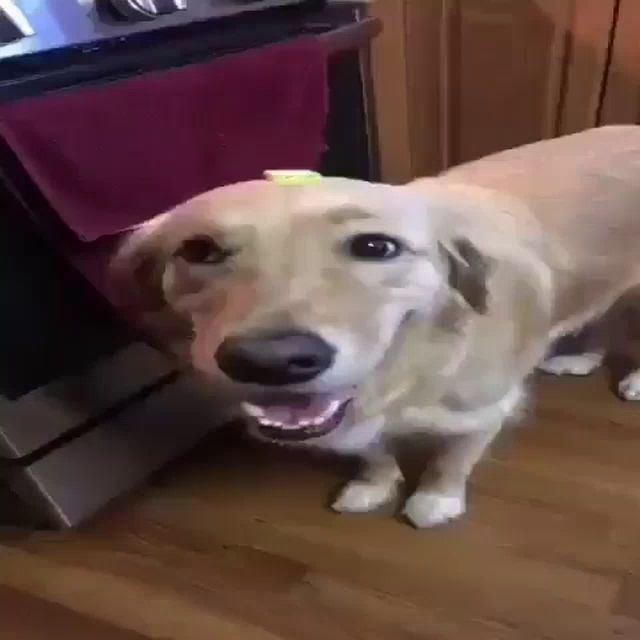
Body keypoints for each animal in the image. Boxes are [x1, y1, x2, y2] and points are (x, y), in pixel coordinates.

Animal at [112, 125, 640, 524]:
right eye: (199, 250)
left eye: (376, 246)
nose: (272, 361)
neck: (408, 366)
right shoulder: (352, 420)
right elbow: (371, 450)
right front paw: (375, 484)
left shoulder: (488, 407)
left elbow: (453, 458)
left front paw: (436, 500)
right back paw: (581, 359)